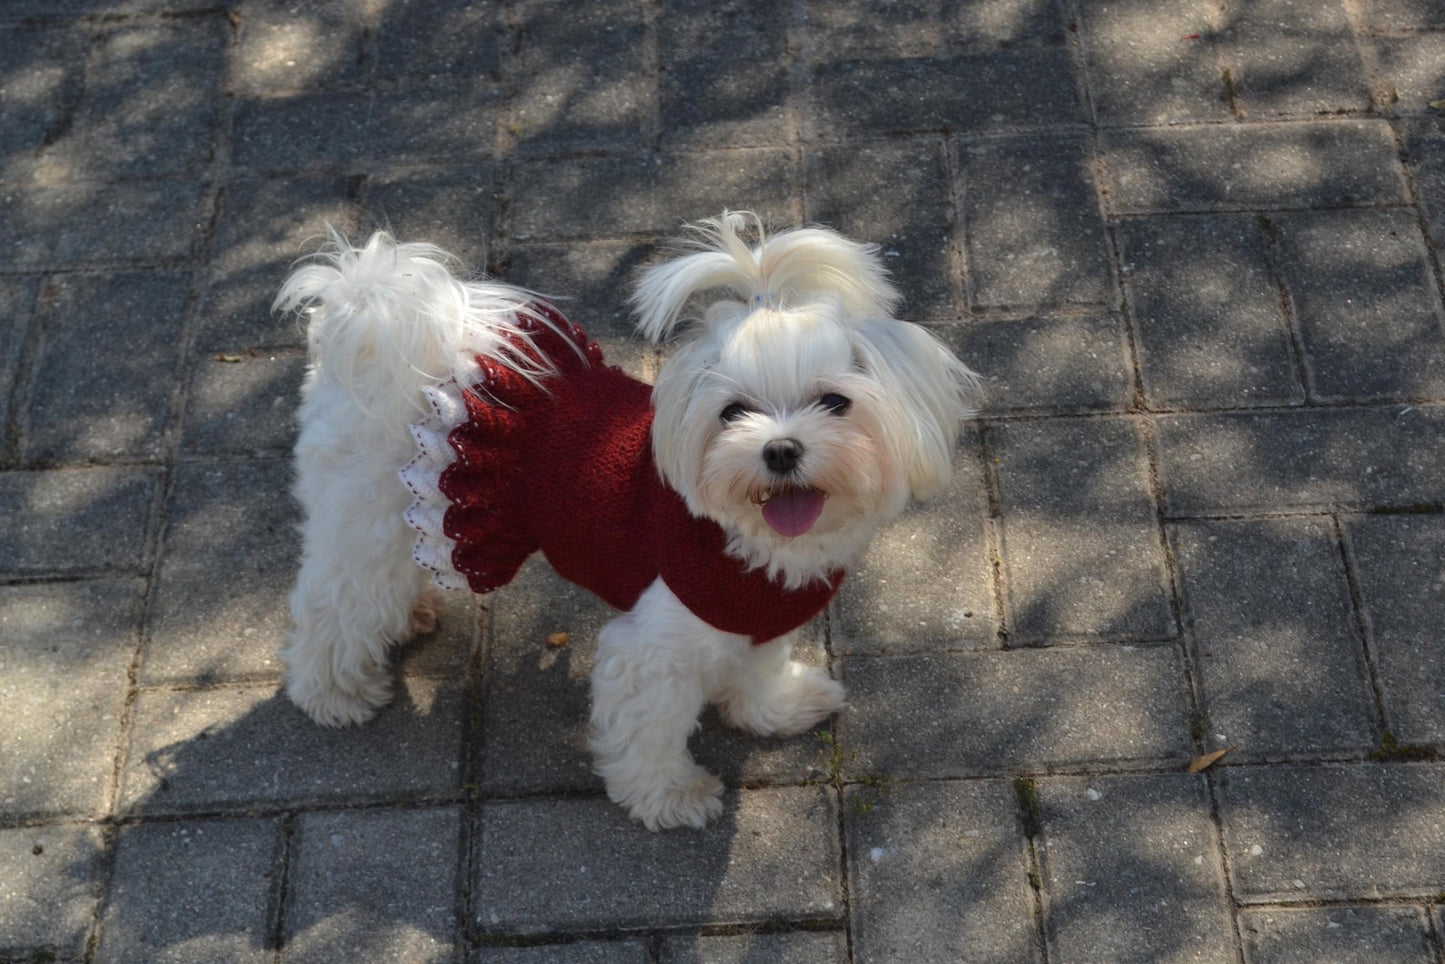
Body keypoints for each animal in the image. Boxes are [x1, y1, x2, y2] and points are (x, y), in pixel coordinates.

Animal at [278, 211, 982, 832]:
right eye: (733, 412)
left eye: (836, 402)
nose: (781, 450)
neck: (749, 539)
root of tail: (373, 307)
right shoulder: (654, 648)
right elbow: (649, 728)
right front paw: (670, 796)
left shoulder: (753, 616)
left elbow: (757, 669)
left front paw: (774, 709)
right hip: (367, 520)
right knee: (335, 603)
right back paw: (335, 693)